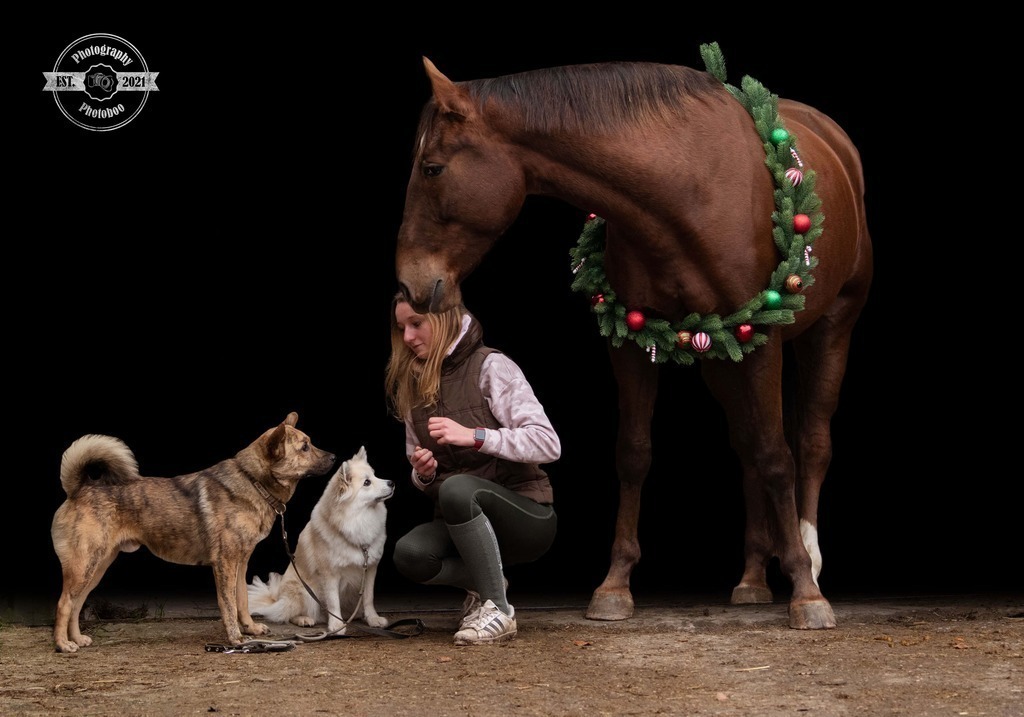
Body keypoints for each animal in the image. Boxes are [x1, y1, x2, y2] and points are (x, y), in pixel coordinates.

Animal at [394, 47, 873, 629]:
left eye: (432, 168)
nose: (410, 285)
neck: (687, 186)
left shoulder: (764, 342)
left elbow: (778, 454)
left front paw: (805, 589)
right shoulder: (632, 340)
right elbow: (635, 453)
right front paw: (615, 583)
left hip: (830, 327)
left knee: (809, 442)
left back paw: (809, 558)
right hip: (722, 358)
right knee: (745, 448)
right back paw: (753, 577)